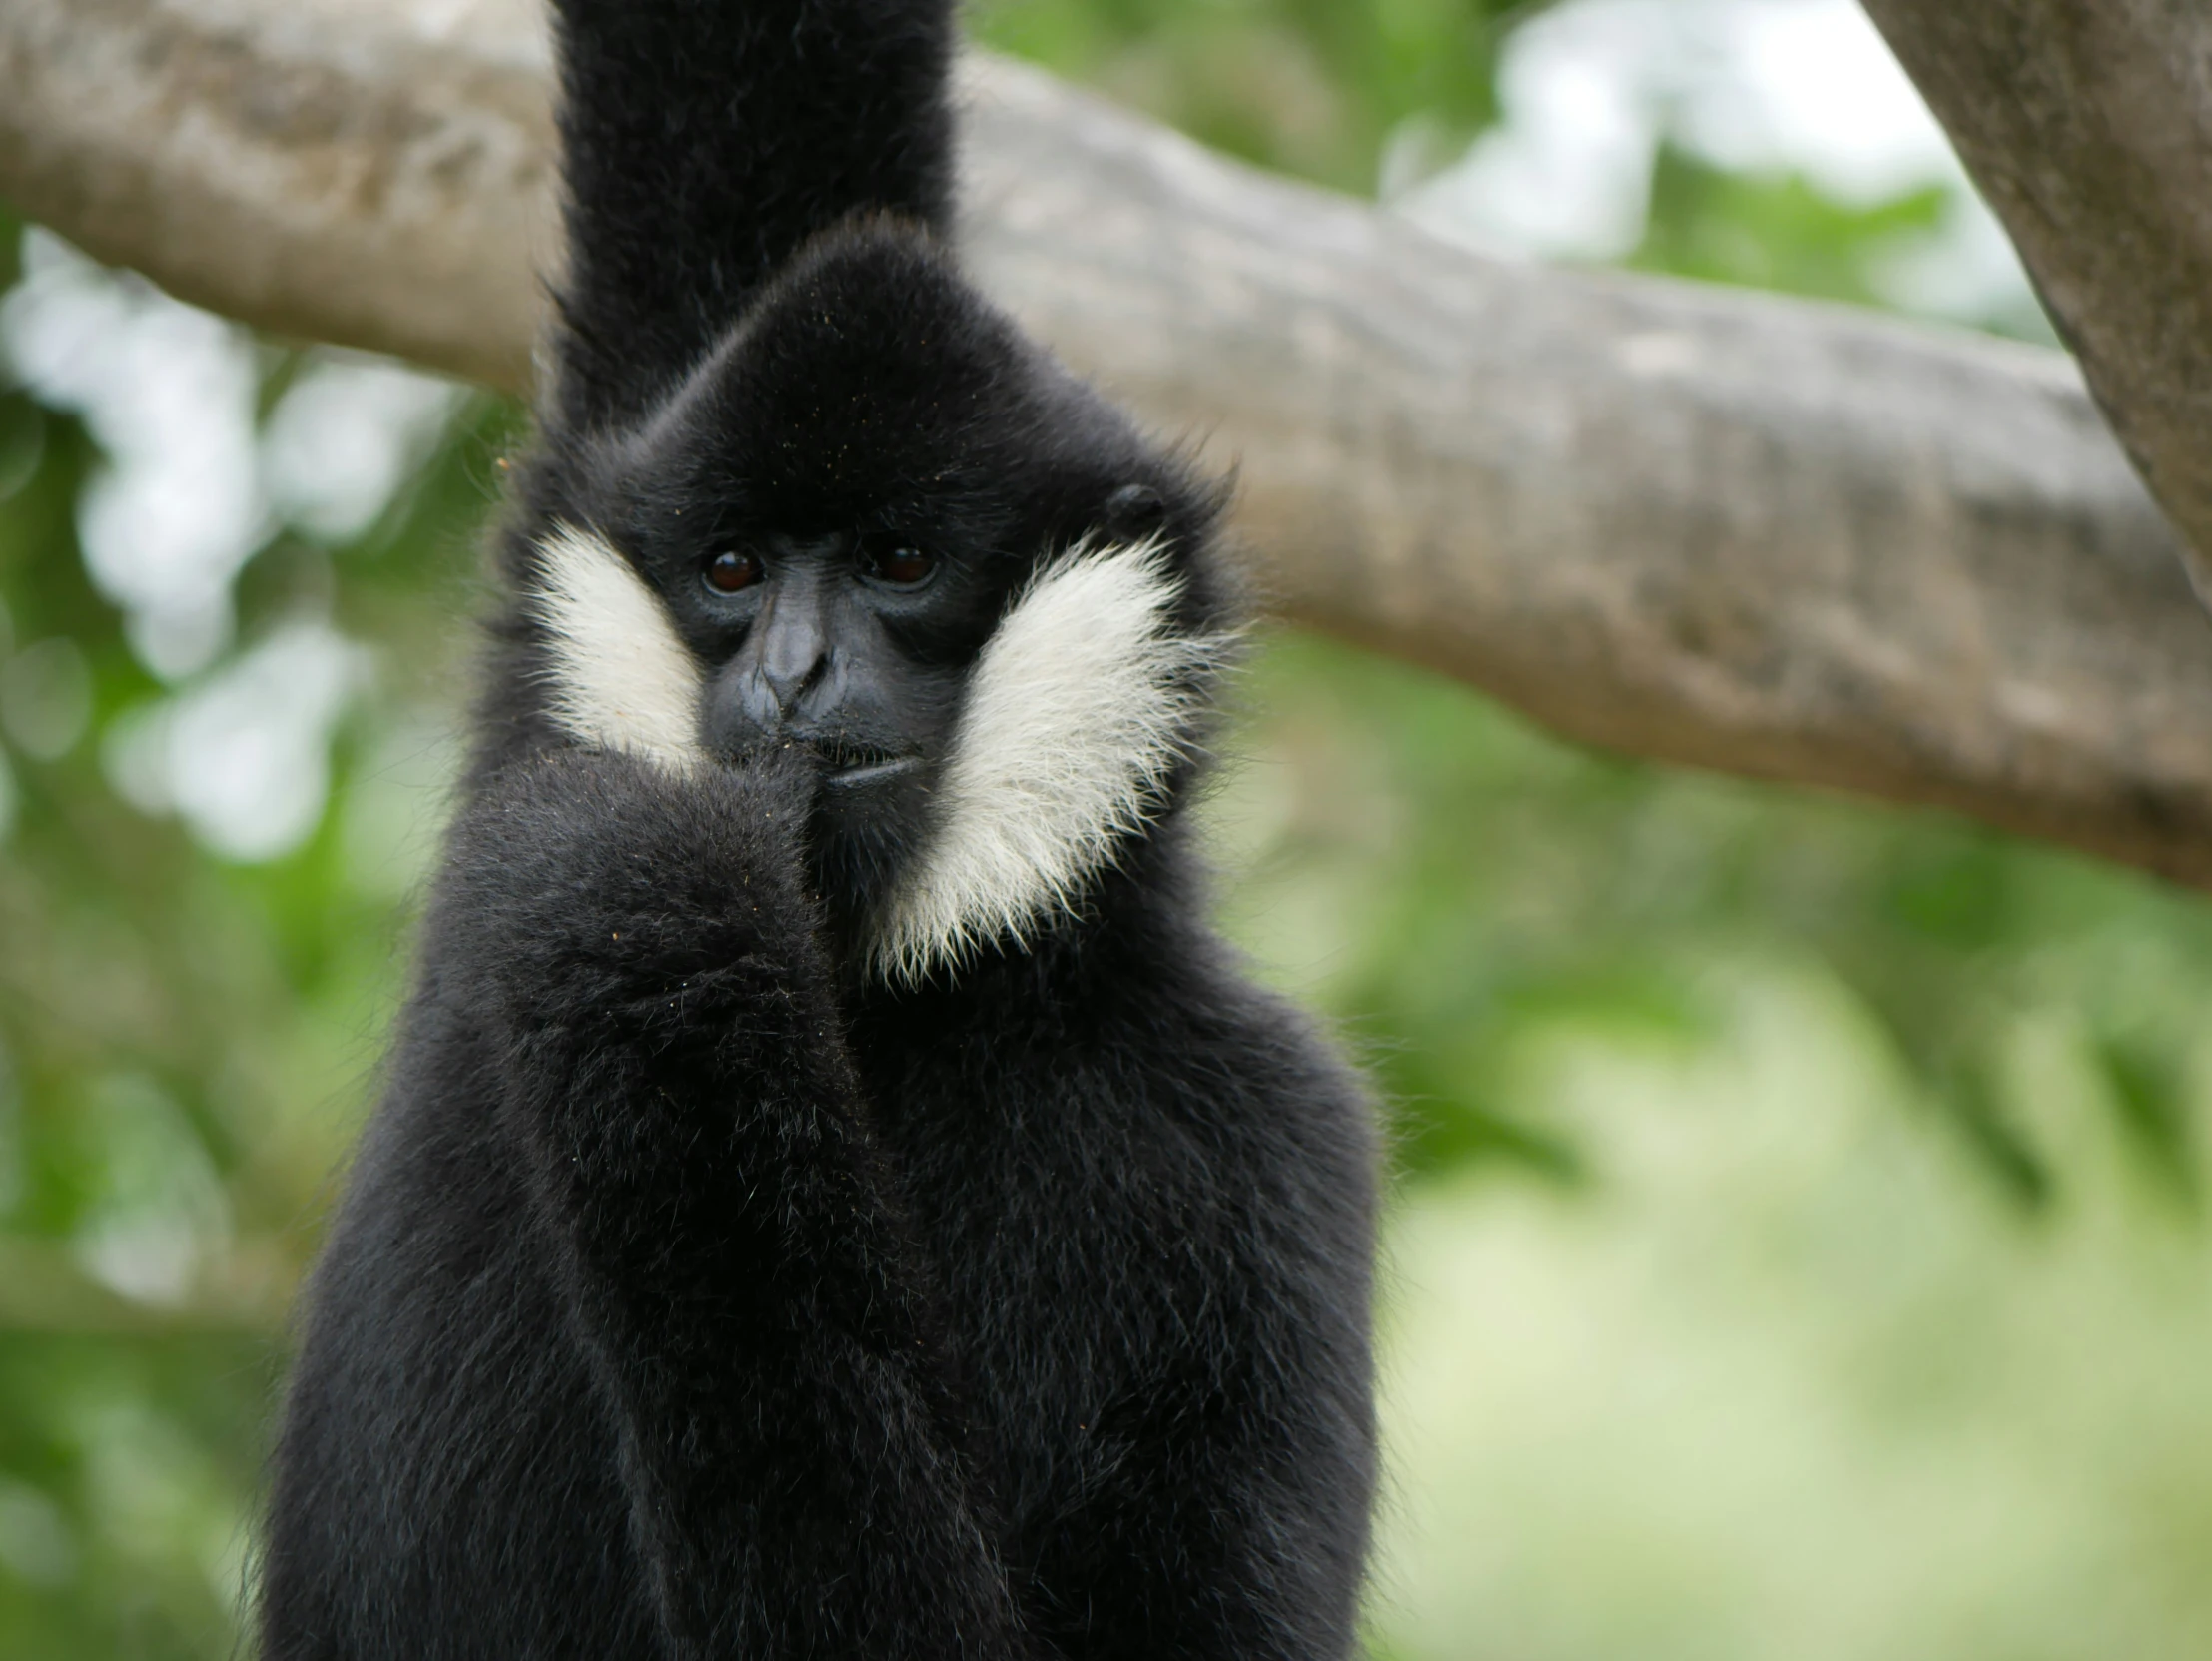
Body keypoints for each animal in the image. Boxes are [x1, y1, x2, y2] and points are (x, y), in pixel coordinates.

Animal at [259, 3, 1380, 1661]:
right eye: (733, 569)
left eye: (897, 561)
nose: (786, 670)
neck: (893, 999)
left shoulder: (1267, 1142)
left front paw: (660, 936)